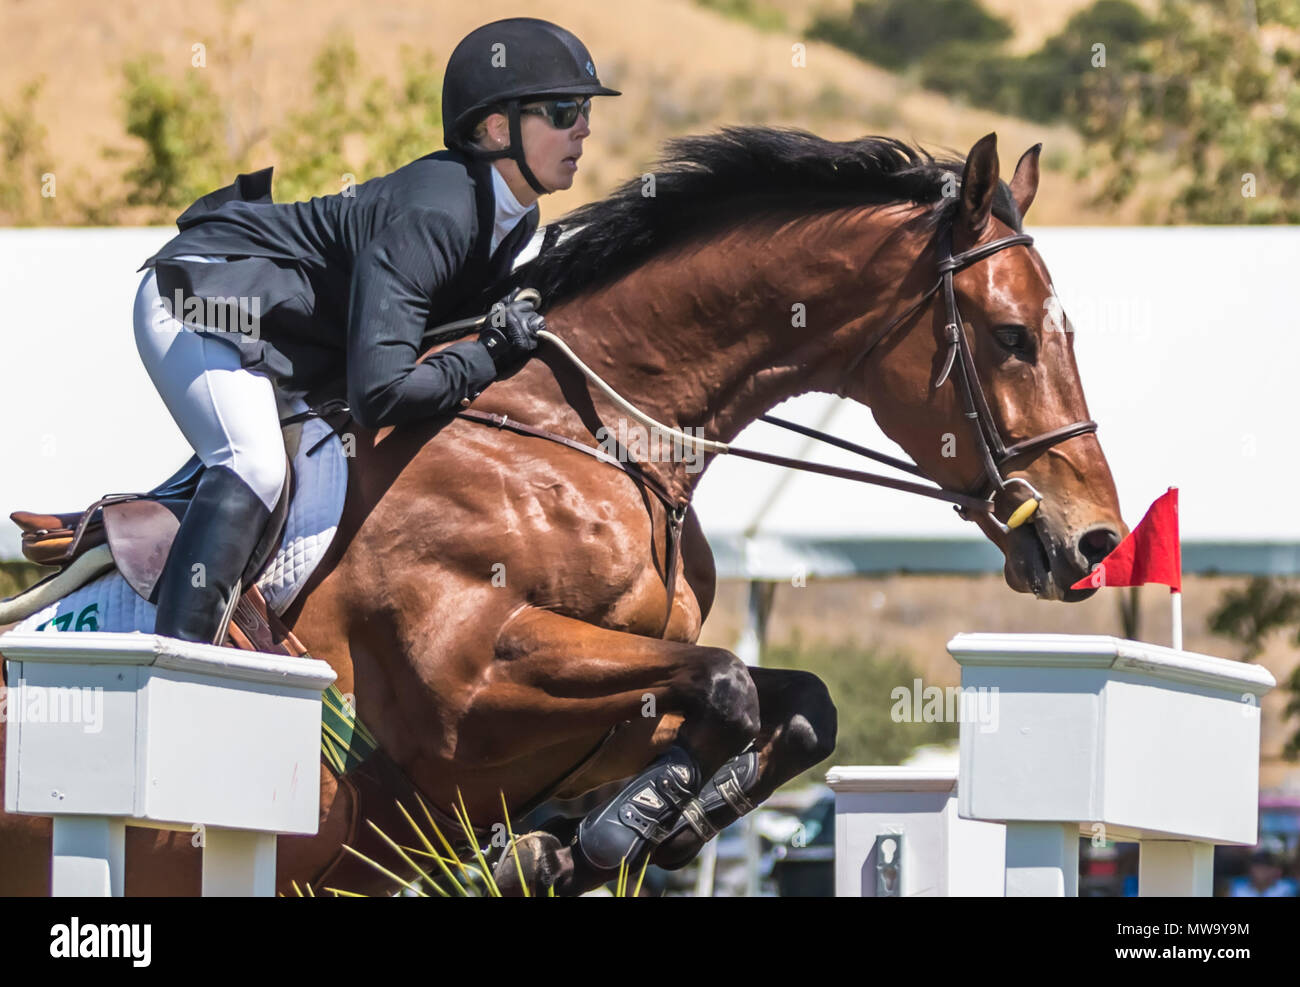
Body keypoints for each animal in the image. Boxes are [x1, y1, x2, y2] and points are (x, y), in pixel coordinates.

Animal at [0, 127, 1125, 895]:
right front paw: (601, 840)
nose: (1093, 540)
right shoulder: (471, 681)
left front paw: (624, 834)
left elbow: (794, 703)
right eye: (1013, 337)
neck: (594, 437)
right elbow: (727, 684)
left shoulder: (611, 699)